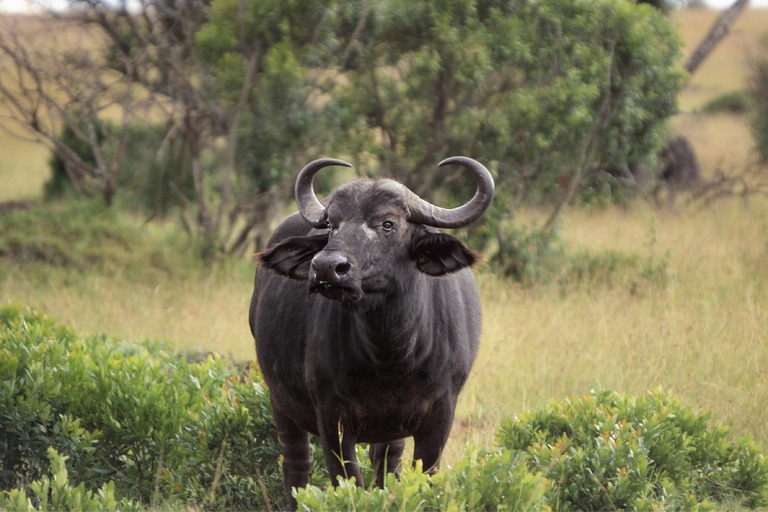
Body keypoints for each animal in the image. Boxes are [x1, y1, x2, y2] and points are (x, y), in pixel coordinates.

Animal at [249, 156, 494, 508]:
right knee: (296, 467)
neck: (392, 356)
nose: (326, 268)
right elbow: (348, 481)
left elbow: (423, 478)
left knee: (387, 465)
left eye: (387, 224)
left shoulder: (441, 414)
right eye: (331, 225)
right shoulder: (332, 418)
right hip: (281, 404)